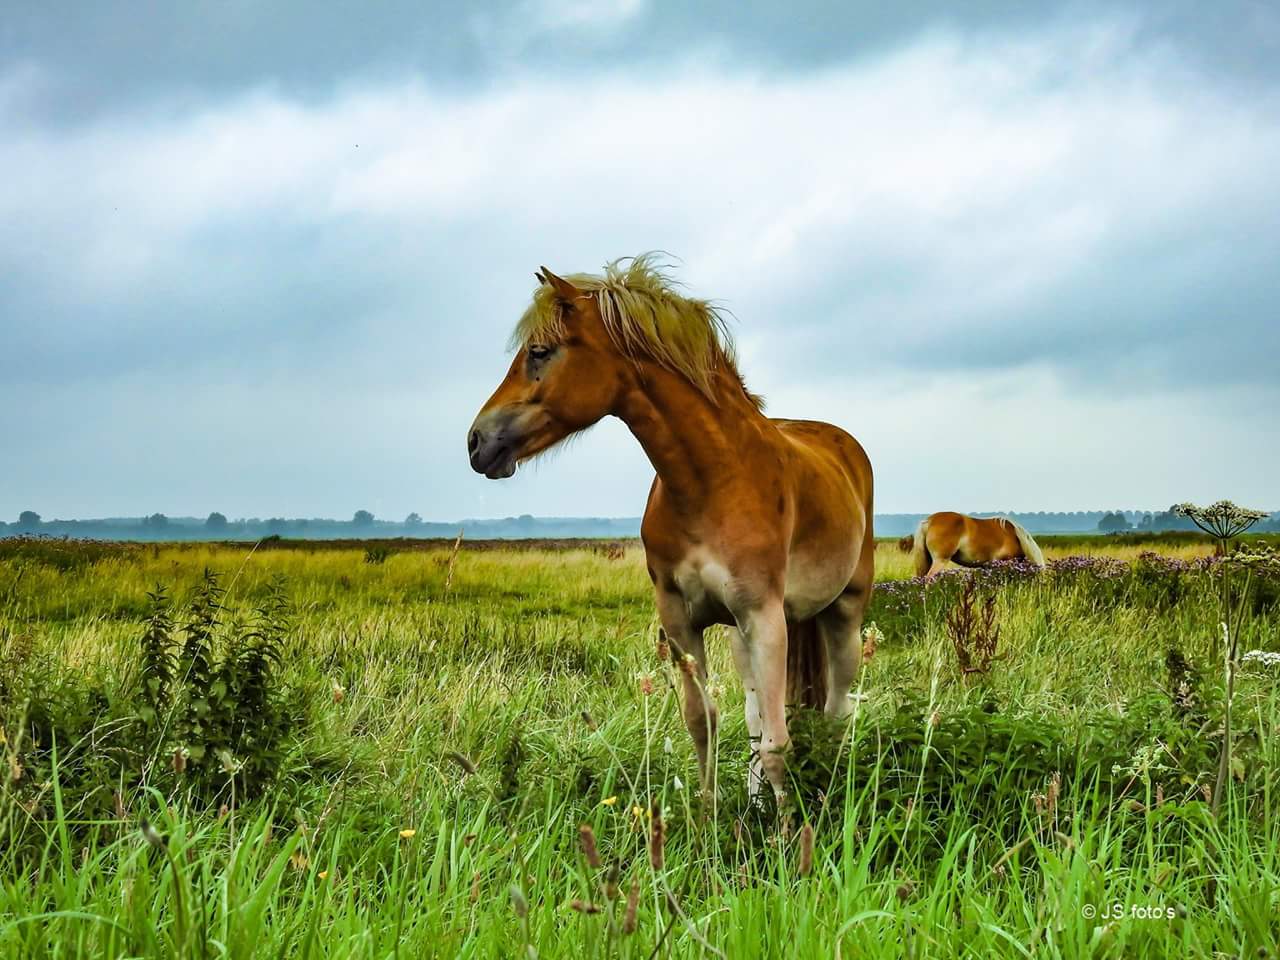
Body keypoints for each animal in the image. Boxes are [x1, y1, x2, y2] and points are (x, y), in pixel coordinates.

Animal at [467, 255, 874, 804]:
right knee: (757, 716)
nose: (477, 442)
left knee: (836, 711)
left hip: (842, 615)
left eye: (539, 351)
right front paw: (709, 816)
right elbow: (704, 721)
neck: (713, 481)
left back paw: (829, 793)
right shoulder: (682, 618)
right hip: (743, 637)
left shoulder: (765, 617)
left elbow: (778, 743)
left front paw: (790, 827)